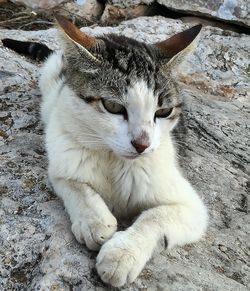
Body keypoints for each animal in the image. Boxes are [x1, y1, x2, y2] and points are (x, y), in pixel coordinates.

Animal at [2, 15, 208, 288]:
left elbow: (155, 216)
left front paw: (122, 255)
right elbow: (75, 186)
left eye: (163, 112)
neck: (114, 160)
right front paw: (95, 221)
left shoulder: (192, 207)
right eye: (113, 106)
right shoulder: (62, 158)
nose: (142, 144)